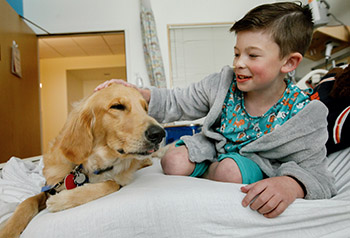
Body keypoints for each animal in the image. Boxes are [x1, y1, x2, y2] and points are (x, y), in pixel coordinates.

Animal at [0, 82, 165, 237]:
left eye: (145, 109)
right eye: (117, 106)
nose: (159, 133)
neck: (91, 164)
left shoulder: (117, 180)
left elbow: (110, 183)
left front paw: (61, 200)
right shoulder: (50, 186)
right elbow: (27, 201)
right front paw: (8, 229)